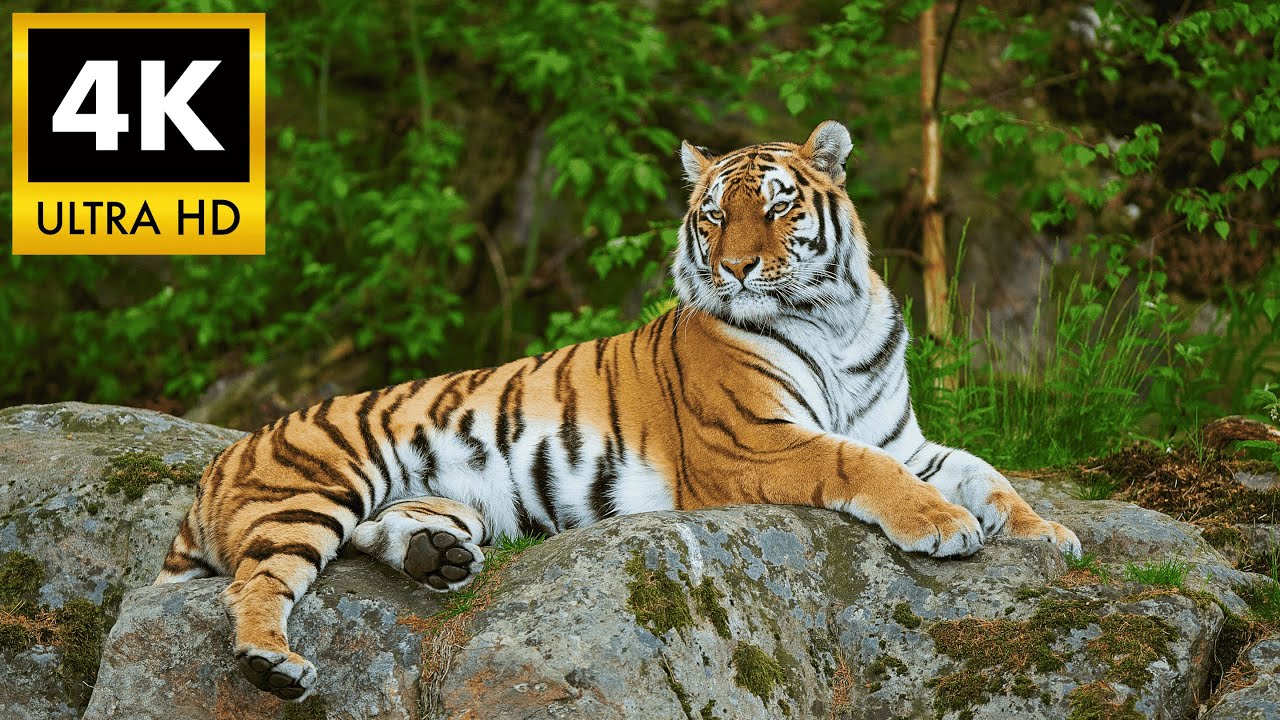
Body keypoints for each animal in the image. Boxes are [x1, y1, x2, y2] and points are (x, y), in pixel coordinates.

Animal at [154, 120, 1081, 702]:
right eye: (715, 216)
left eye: (778, 205)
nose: (737, 268)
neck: (835, 316)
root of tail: (218, 463)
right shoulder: (754, 443)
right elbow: (860, 465)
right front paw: (944, 526)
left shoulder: (901, 434)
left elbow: (982, 472)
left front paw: (1046, 535)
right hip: (313, 489)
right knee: (254, 582)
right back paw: (272, 664)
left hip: (443, 502)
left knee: (380, 535)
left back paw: (436, 561)